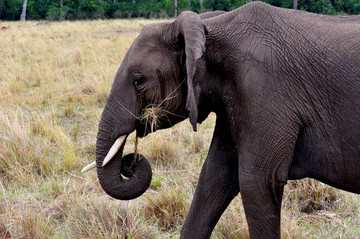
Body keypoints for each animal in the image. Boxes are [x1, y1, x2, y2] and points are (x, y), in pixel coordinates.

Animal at [81, 2, 360, 239]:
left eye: (138, 81)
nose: (131, 163)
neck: (212, 27)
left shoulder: (265, 92)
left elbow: (255, 181)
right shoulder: (233, 102)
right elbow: (214, 175)